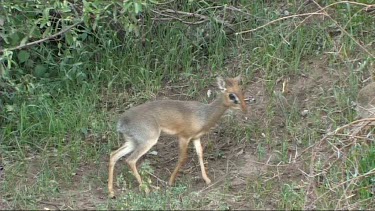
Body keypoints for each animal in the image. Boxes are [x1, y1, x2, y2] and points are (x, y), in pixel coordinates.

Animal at [108, 75, 248, 198]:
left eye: (241, 90)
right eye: (231, 95)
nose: (245, 109)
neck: (203, 115)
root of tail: (121, 122)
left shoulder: (195, 137)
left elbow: (200, 154)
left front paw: (207, 179)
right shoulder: (183, 137)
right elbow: (182, 158)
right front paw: (170, 181)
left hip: (132, 142)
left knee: (114, 155)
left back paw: (111, 192)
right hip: (148, 141)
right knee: (130, 160)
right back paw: (147, 189)